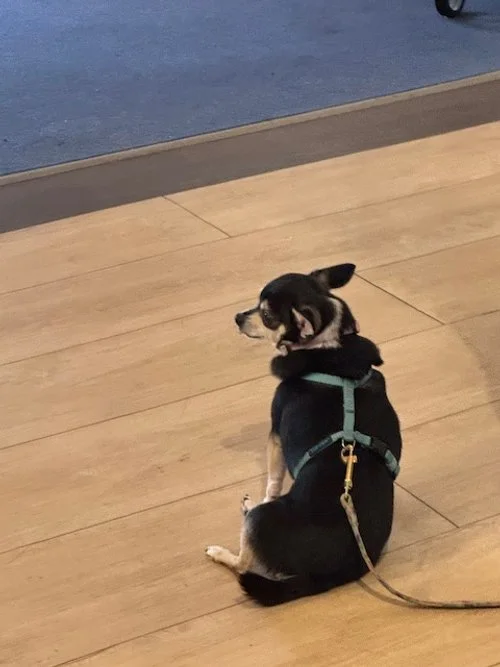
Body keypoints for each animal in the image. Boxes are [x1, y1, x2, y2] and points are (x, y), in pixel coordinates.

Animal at [205, 263, 402, 606]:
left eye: (266, 315)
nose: (238, 317)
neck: (328, 344)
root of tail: (330, 574)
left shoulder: (275, 434)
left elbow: (273, 480)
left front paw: (261, 496)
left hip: (261, 523)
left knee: (245, 561)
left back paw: (225, 544)